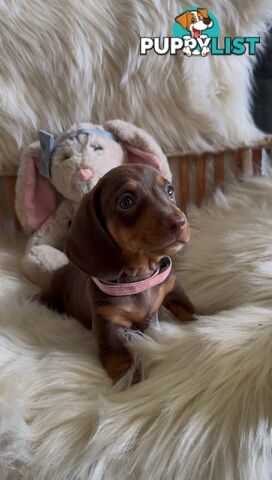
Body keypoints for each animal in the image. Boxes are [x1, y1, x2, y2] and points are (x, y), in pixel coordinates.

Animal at [38, 165, 196, 382]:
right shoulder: (108, 326)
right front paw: (135, 383)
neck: (140, 278)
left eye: (170, 190)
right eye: (126, 201)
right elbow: (122, 363)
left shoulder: (173, 290)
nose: (180, 222)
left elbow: (192, 313)